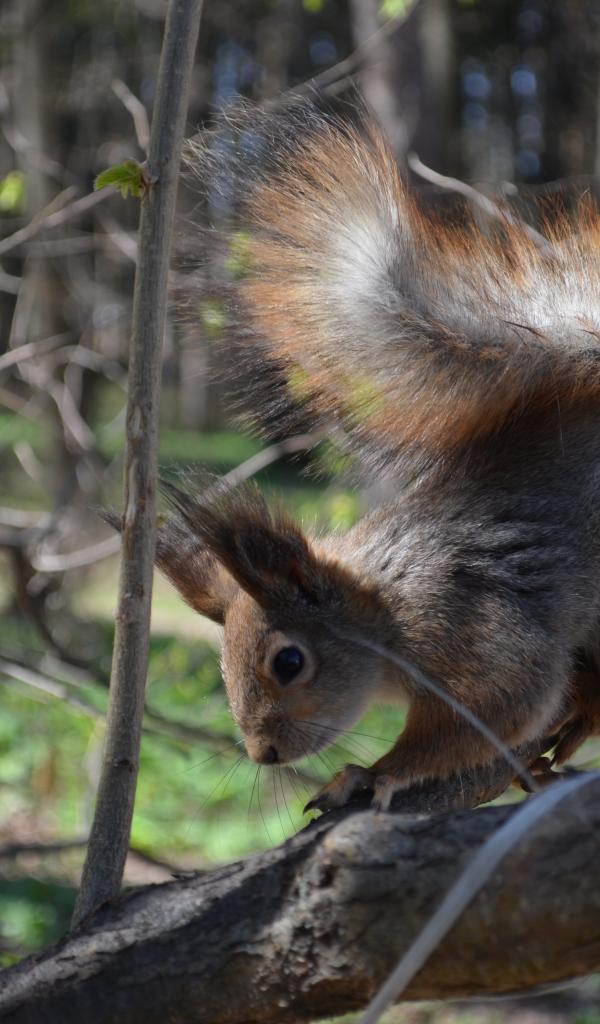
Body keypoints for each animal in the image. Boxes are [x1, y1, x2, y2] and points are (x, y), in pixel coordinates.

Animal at [151, 101, 600, 813]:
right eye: (220, 665)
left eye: (288, 661)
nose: (263, 754)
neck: (382, 608)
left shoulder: (474, 629)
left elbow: (503, 707)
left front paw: (373, 773)